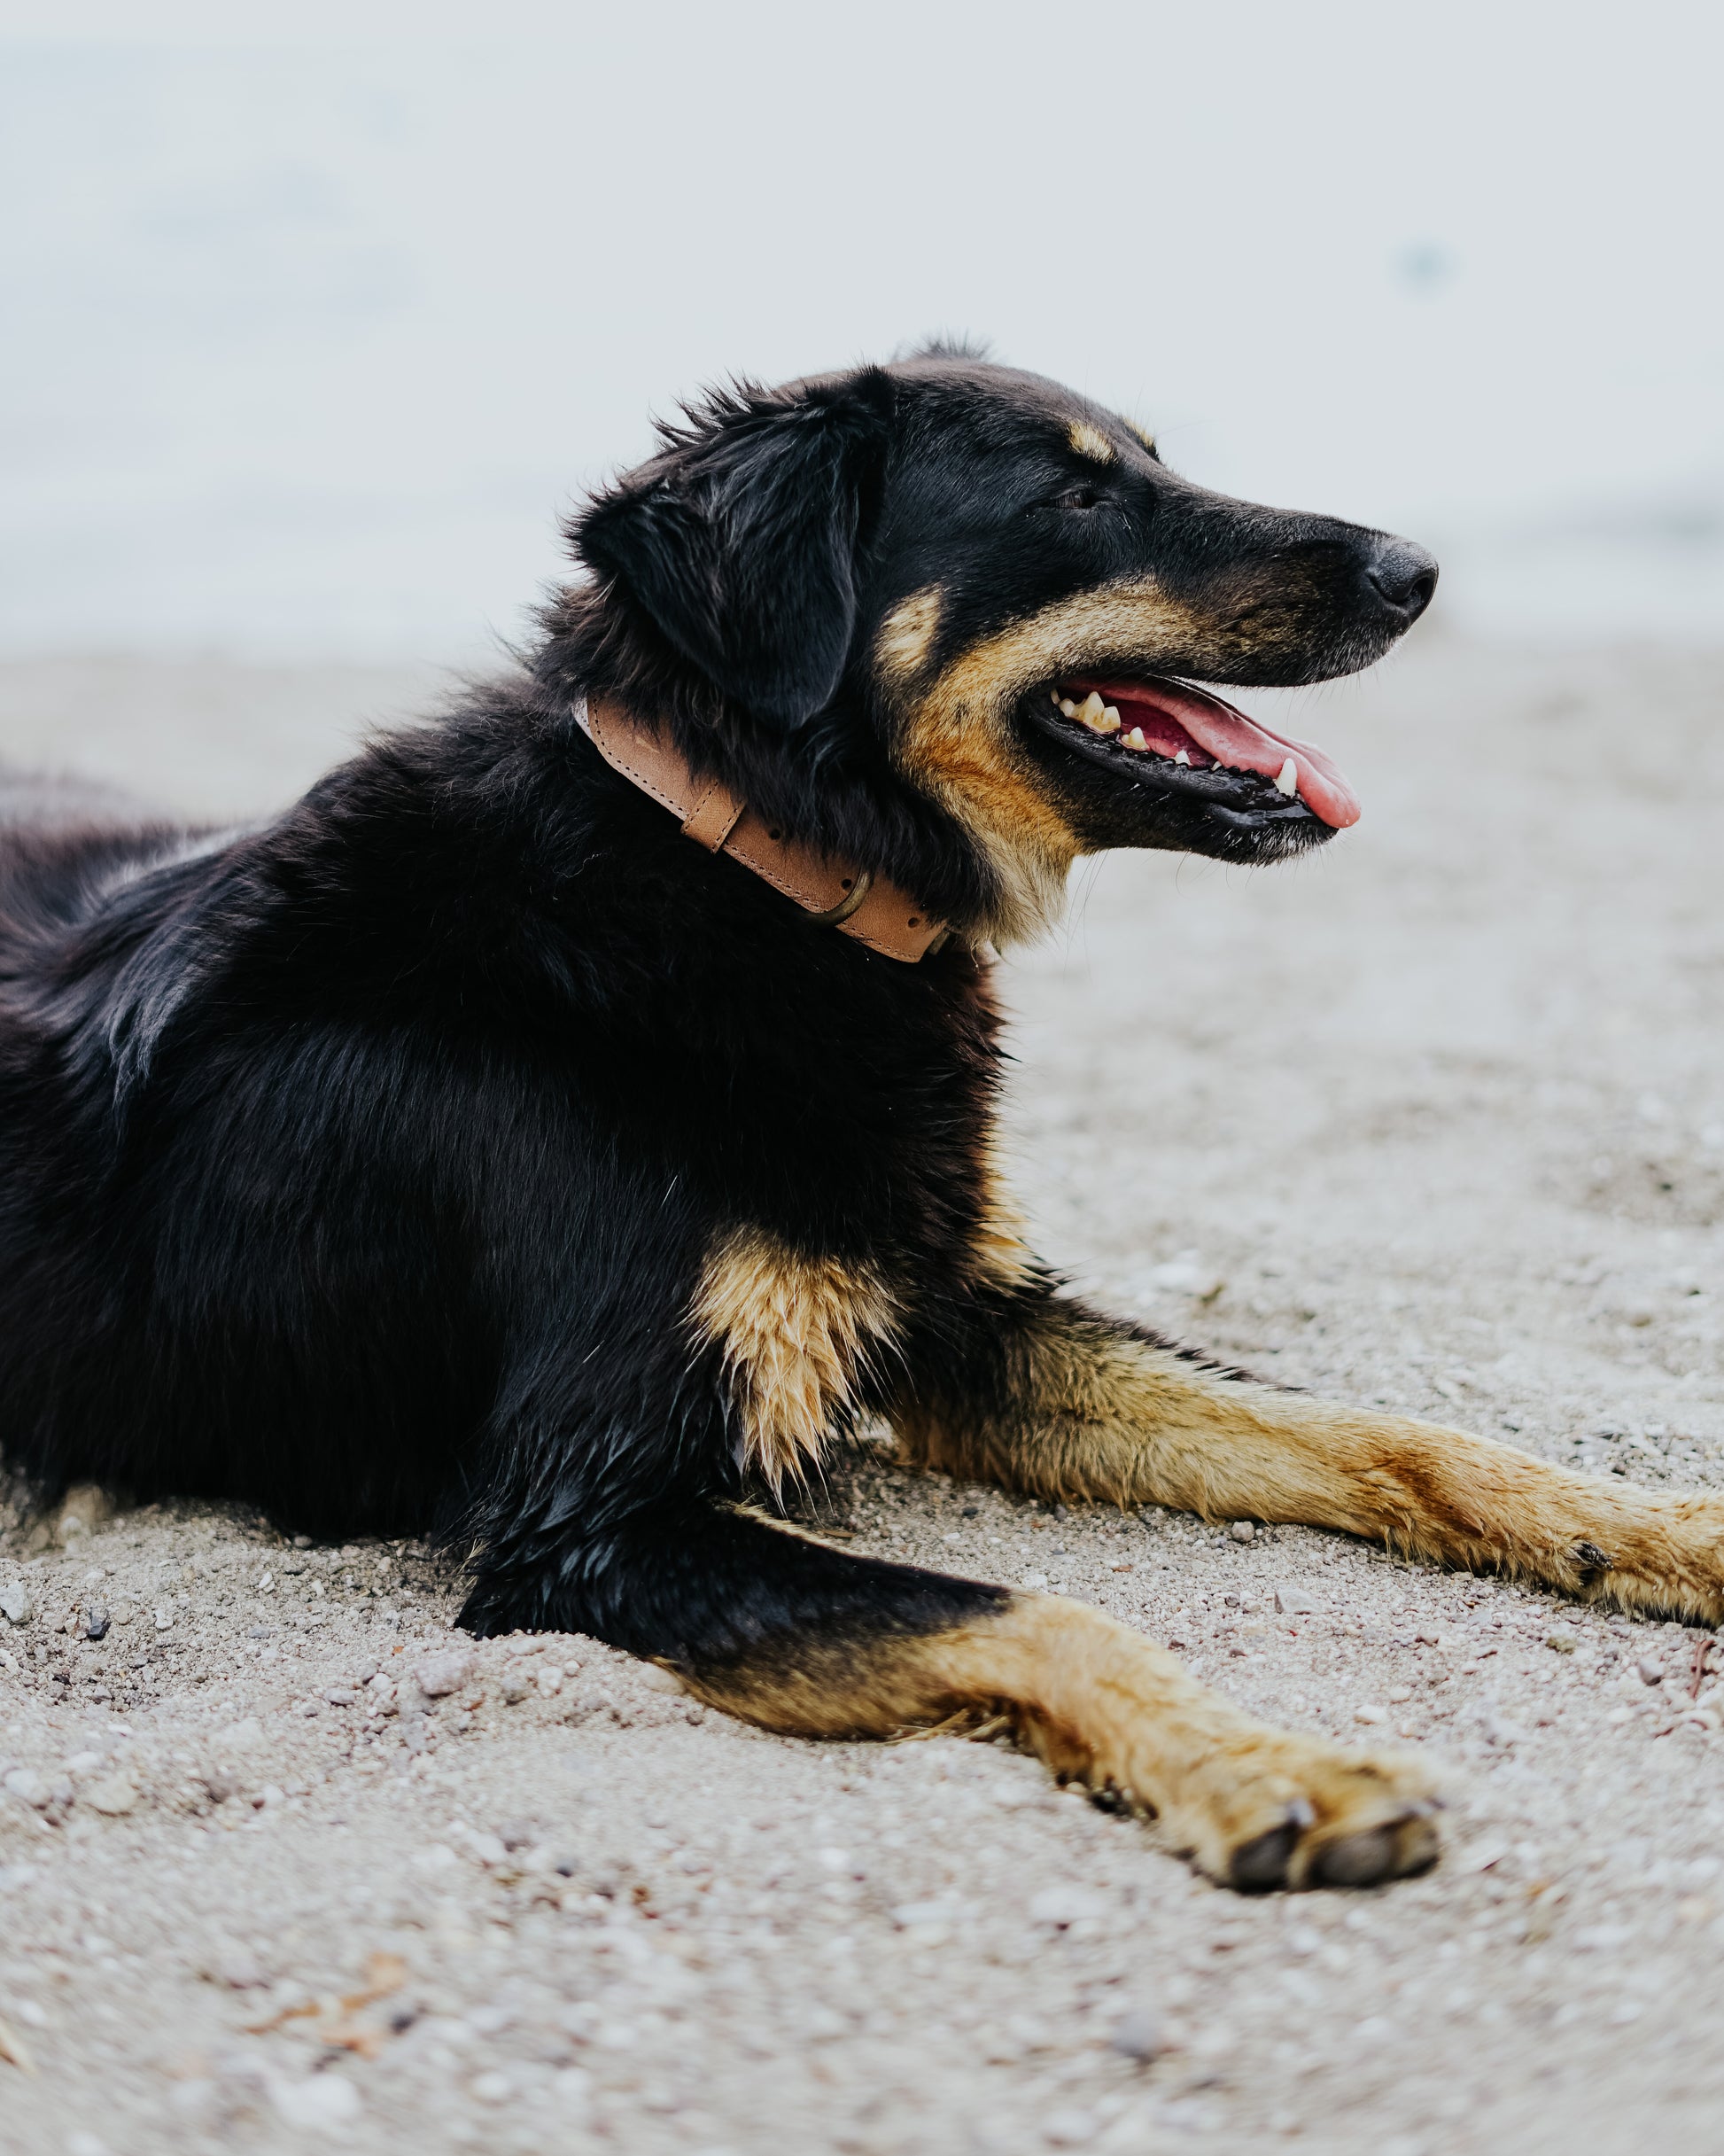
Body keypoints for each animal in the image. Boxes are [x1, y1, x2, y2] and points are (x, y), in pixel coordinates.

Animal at [6, 349, 1715, 1888]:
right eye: (1073, 495)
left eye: (1146, 461)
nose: (1419, 571)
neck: (746, 864)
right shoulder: (585, 1516)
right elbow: (1030, 1607)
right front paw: (1263, 1767)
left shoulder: (959, 1313)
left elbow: (1388, 1430)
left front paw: (1663, 1531)